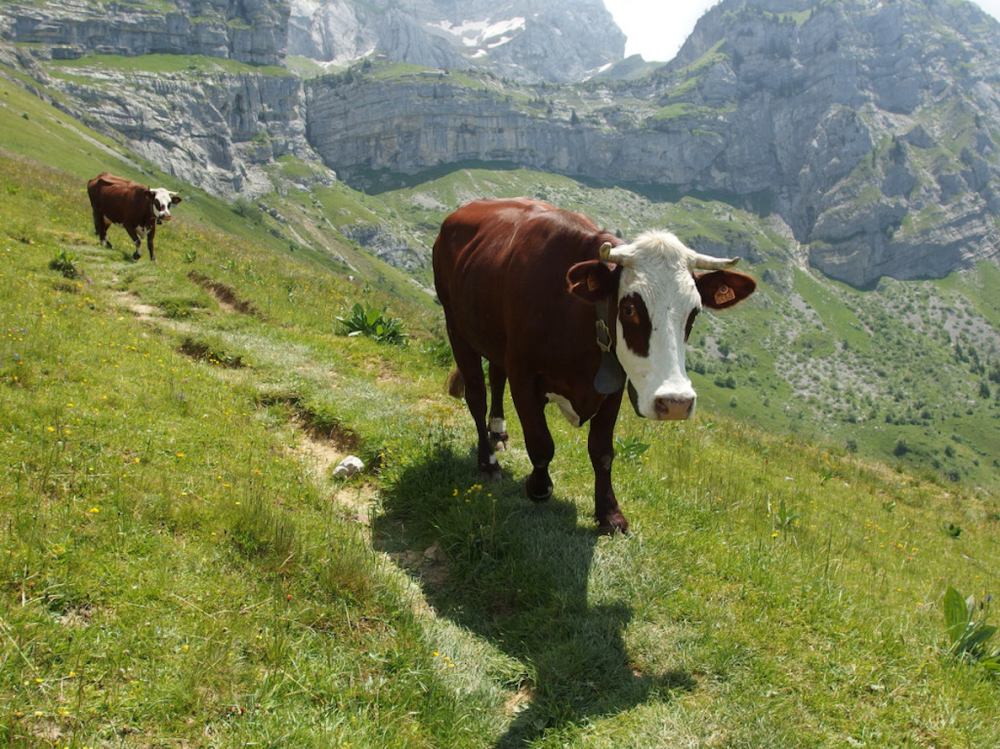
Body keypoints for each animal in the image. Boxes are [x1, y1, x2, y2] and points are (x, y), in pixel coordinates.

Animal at [433, 198, 756, 533]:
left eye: (694, 312)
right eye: (629, 308)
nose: (676, 402)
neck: (580, 316)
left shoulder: (614, 384)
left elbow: (602, 451)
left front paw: (610, 513)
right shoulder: (523, 375)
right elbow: (541, 443)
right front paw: (538, 488)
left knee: (496, 377)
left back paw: (499, 432)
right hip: (456, 326)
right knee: (477, 396)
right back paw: (487, 462)